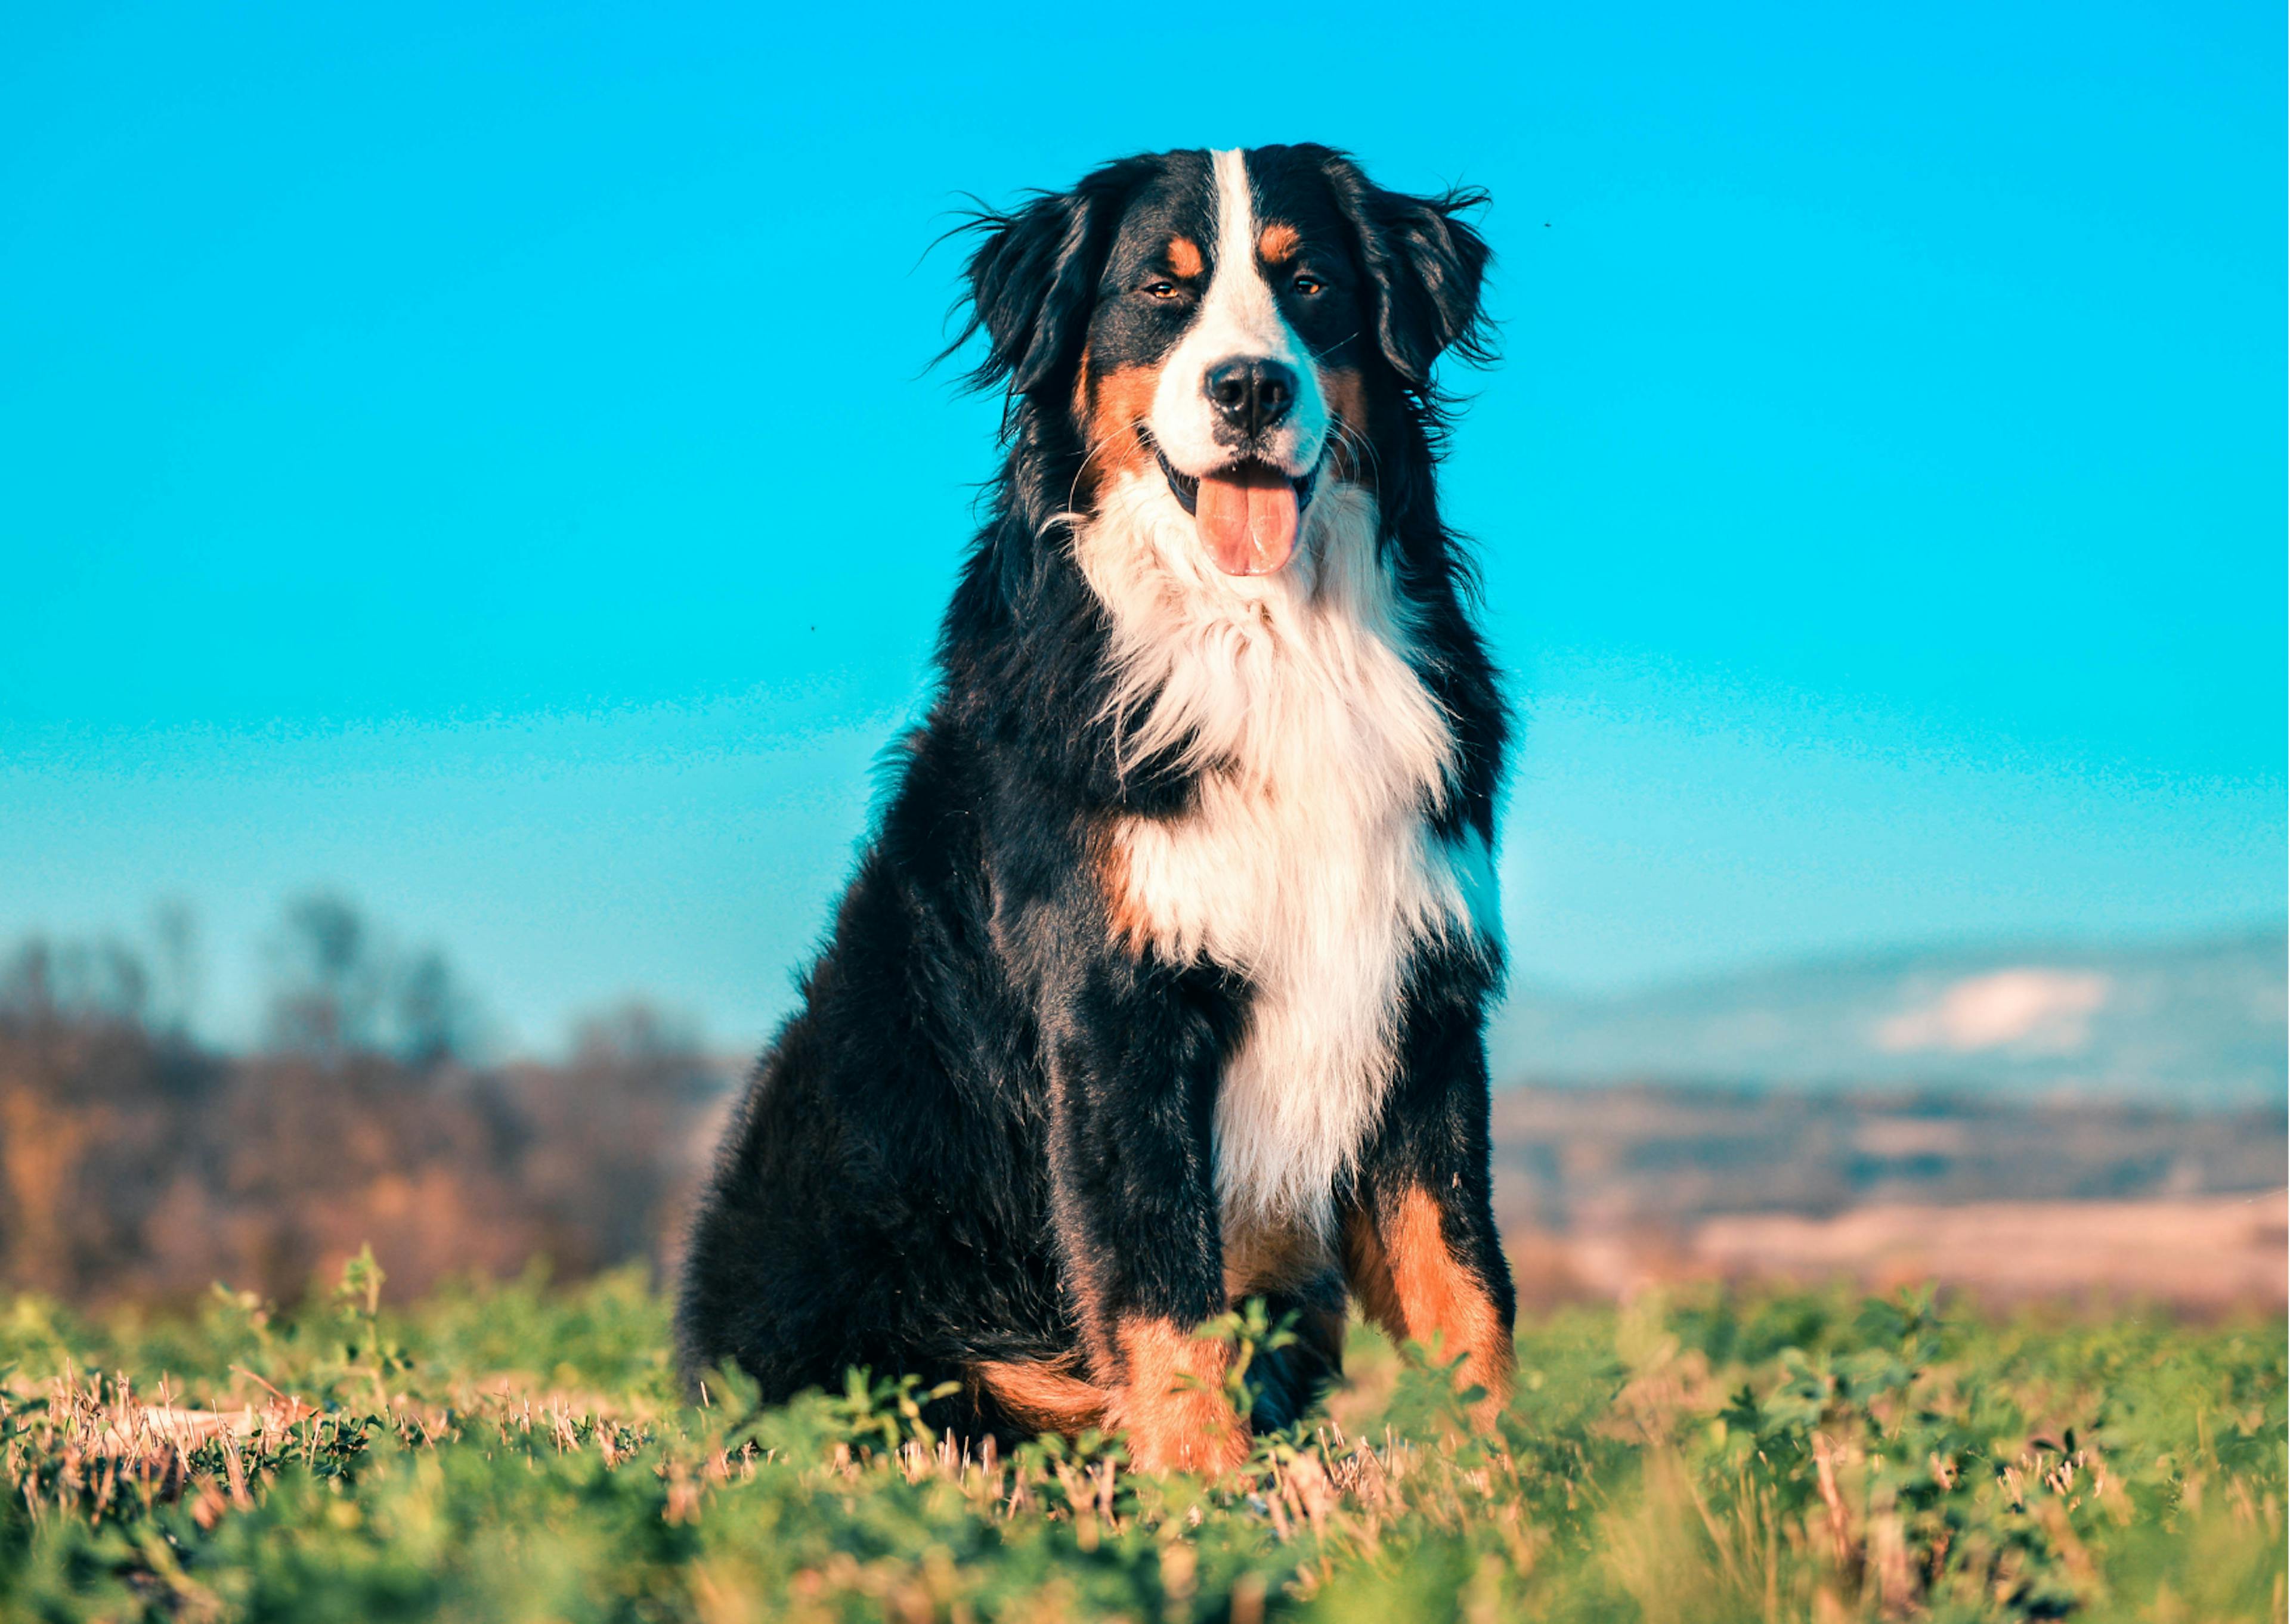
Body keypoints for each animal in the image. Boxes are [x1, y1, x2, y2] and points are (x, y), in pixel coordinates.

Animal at [669, 142, 1511, 1465]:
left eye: (1310, 282)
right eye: (1162, 290)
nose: (1249, 388)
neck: (1269, 642)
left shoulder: (1423, 1000)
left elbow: (1466, 1289)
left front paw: (1514, 1492)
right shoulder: (1115, 1010)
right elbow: (1163, 1297)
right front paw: (1205, 1498)